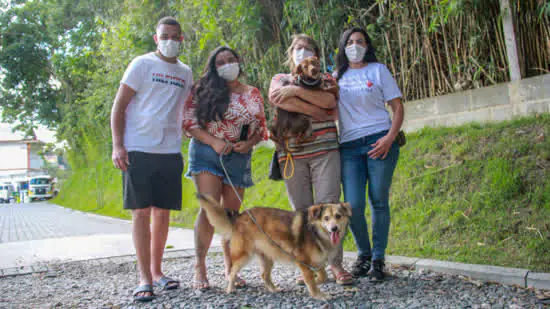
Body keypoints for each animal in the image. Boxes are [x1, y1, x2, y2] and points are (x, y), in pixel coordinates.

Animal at [198, 194, 352, 300]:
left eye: (338, 216)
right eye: (326, 218)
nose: (334, 229)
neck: (316, 231)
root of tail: (240, 216)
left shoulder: (315, 262)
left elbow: (323, 276)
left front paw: (314, 282)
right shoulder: (303, 261)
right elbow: (311, 281)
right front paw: (318, 294)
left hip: (267, 257)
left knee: (264, 275)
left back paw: (274, 289)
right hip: (244, 255)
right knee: (232, 272)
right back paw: (230, 289)